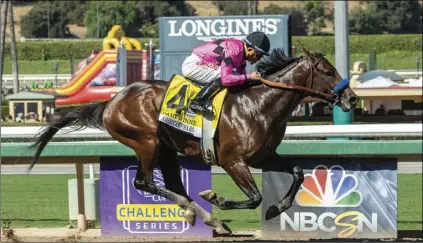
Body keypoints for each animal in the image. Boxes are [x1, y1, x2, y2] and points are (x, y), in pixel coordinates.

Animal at [26, 47, 358, 234]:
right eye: (328, 71)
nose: (352, 98)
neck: (259, 105)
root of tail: (111, 101)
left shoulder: (264, 156)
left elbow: (299, 173)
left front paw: (278, 208)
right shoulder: (233, 161)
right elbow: (254, 197)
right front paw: (219, 198)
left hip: (165, 149)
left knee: (173, 184)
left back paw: (207, 219)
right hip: (146, 141)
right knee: (144, 182)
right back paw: (200, 212)